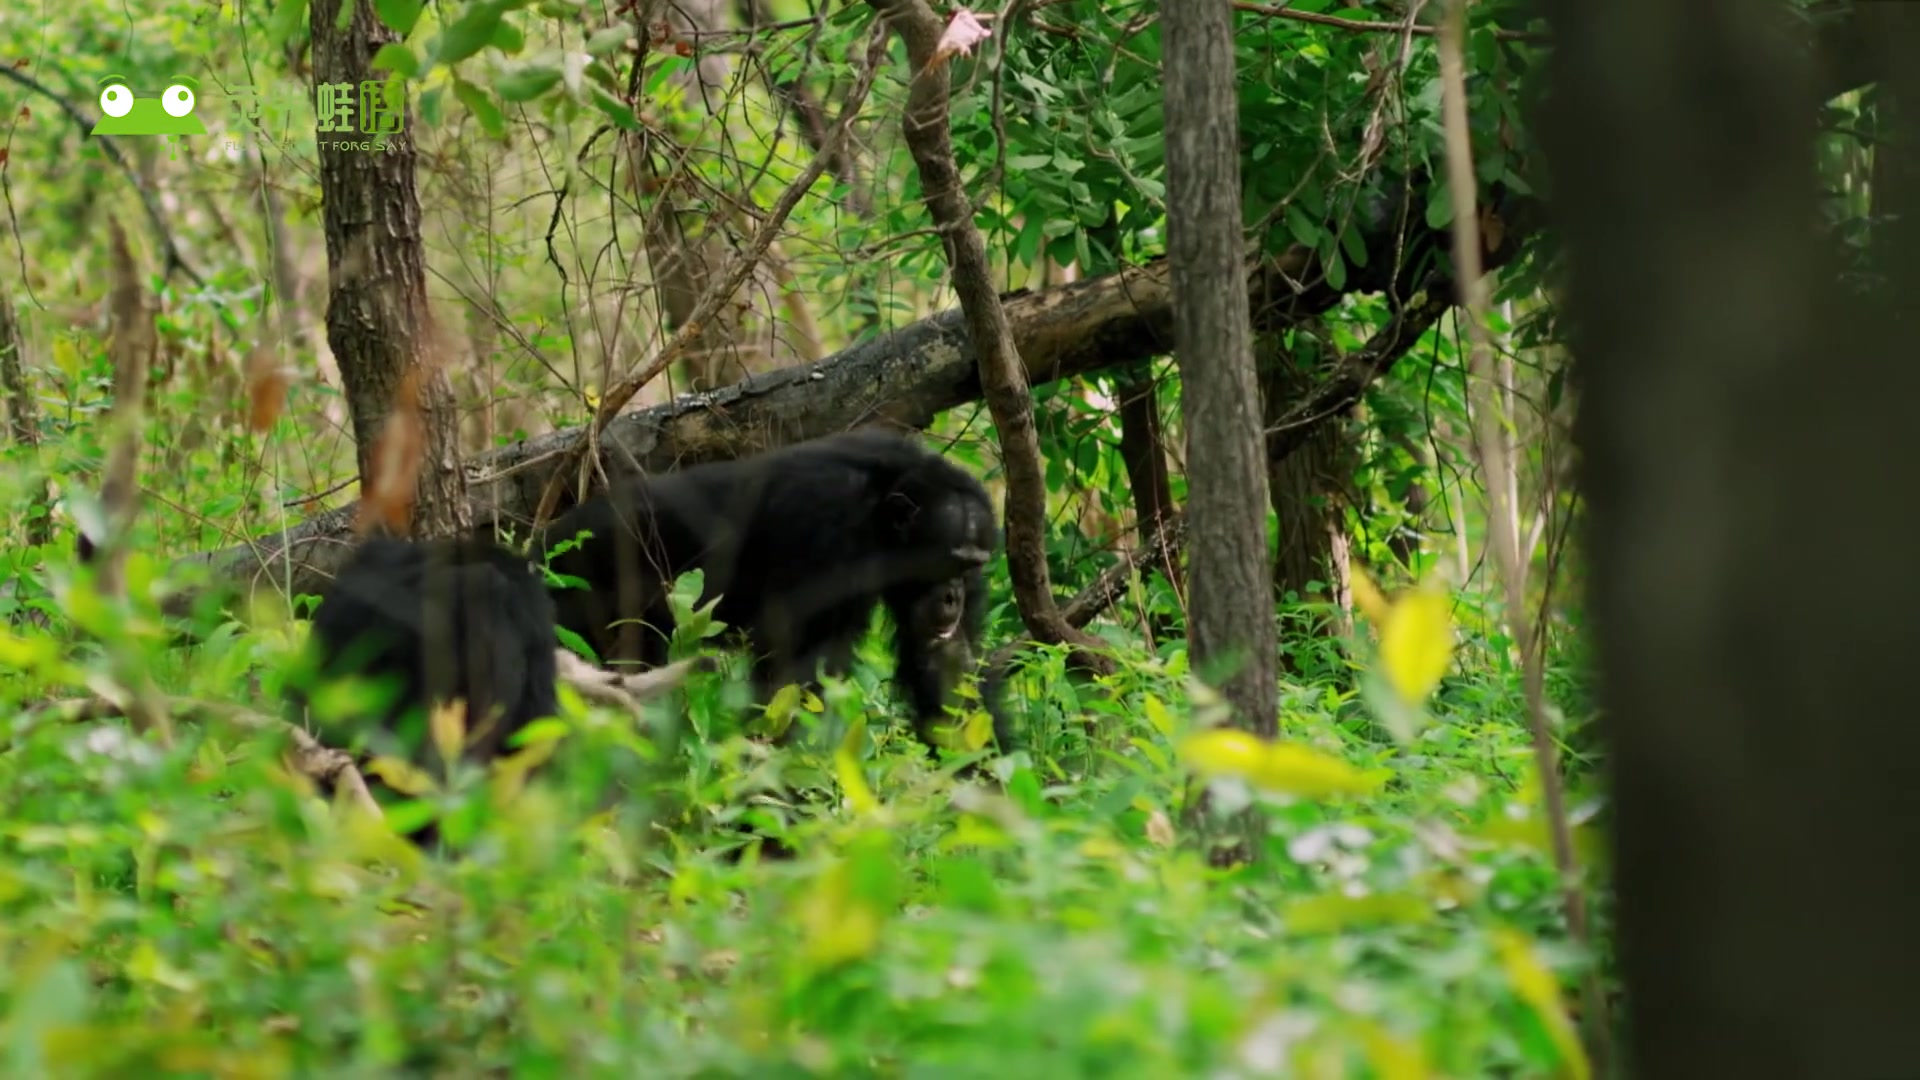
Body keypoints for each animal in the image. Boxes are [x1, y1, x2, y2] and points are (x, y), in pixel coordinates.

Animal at [533, 426, 1013, 749]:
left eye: (972, 565)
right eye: (946, 562)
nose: (953, 596)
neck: (880, 511)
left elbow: (948, 664)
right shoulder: (824, 530)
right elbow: (794, 674)